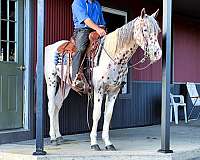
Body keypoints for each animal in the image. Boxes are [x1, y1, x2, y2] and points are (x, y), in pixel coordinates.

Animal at [44, 8, 162, 151]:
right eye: (145, 29)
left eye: (158, 31)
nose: (157, 53)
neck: (113, 56)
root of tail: (50, 47)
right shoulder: (99, 89)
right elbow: (97, 114)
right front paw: (94, 143)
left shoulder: (114, 91)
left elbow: (108, 115)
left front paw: (108, 143)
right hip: (51, 80)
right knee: (51, 106)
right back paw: (53, 138)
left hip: (66, 84)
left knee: (57, 104)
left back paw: (59, 136)